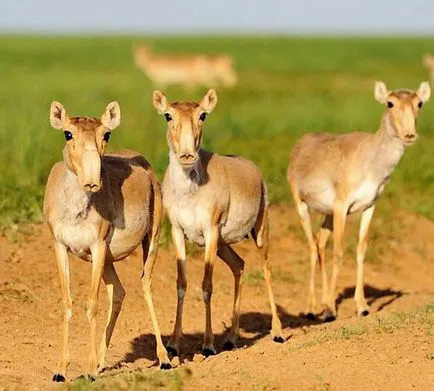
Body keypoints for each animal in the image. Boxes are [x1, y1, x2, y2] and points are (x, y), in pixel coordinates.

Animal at [43, 99, 171, 382]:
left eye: (106, 134)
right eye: (68, 133)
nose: (92, 181)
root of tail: (144, 164)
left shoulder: (98, 245)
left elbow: (92, 305)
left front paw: (89, 371)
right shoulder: (61, 247)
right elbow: (67, 303)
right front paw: (61, 370)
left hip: (151, 240)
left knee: (145, 285)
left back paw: (165, 359)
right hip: (107, 261)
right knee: (119, 291)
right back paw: (102, 360)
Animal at [153, 89, 284, 358]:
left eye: (202, 114)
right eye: (168, 115)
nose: (187, 155)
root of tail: (253, 169)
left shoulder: (210, 231)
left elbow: (207, 285)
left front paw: (208, 345)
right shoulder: (178, 232)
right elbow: (181, 284)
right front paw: (173, 344)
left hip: (259, 231)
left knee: (266, 268)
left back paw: (277, 333)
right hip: (224, 245)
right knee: (240, 265)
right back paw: (232, 338)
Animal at [288, 80, 430, 322]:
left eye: (419, 102)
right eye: (390, 103)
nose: (409, 135)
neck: (371, 161)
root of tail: (300, 144)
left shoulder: (369, 207)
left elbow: (361, 250)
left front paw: (362, 306)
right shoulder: (341, 206)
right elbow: (339, 252)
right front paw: (330, 310)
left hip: (327, 215)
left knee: (320, 243)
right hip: (302, 206)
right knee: (311, 246)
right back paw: (311, 308)